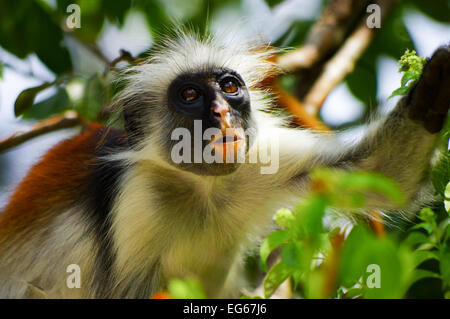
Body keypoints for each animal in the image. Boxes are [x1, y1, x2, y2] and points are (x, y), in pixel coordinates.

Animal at [0, 33, 450, 298]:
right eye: (189, 95)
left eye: (229, 87)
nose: (220, 112)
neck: (204, 191)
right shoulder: (136, 198)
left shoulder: (259, 157)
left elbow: (382, 173)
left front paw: (431, 92)